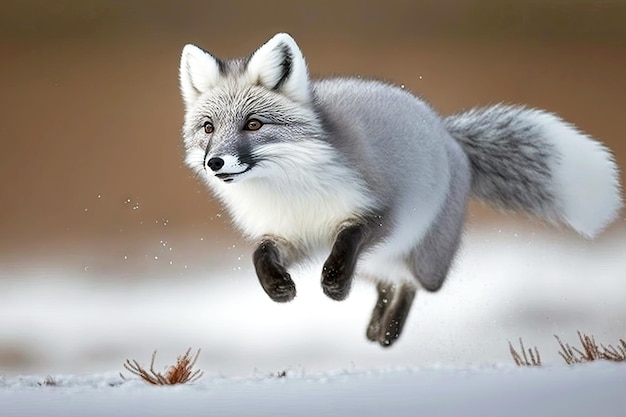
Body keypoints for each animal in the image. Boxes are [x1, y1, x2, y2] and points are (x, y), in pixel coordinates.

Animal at [178, 31, 620, 344]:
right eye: (209, 128)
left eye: (253, 124)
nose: (215, 163)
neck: (291, 189)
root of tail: (445, 132)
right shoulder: (293, 236)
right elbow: (261, 255)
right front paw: (278, 287)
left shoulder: (379, 215)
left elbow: (349, 238)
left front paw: (334, 284)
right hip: (379, 261)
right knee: (389, 282)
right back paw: (377, 329)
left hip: (424, 260)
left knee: (409, 283)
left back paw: (386, 332)